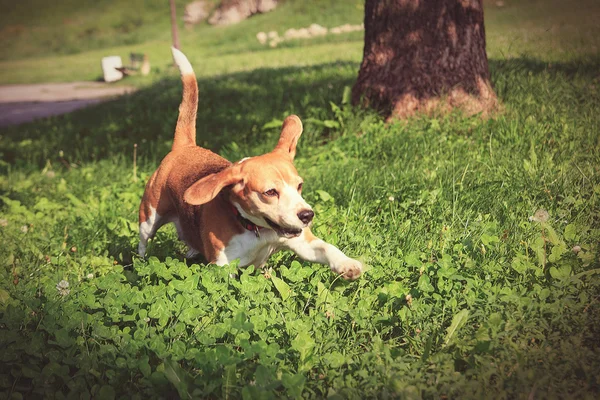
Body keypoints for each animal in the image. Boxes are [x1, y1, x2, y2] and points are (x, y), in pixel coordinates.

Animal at [138, 48, 364, 280]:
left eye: (299, 186)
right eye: (270, 192)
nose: (307, 215)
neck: (257, 230)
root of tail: (185, 146)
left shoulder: (303, 241)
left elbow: (327, 248)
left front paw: (347, 264)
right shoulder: (223, 266)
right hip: (148, 217)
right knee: (143, 243)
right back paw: (140, 263)